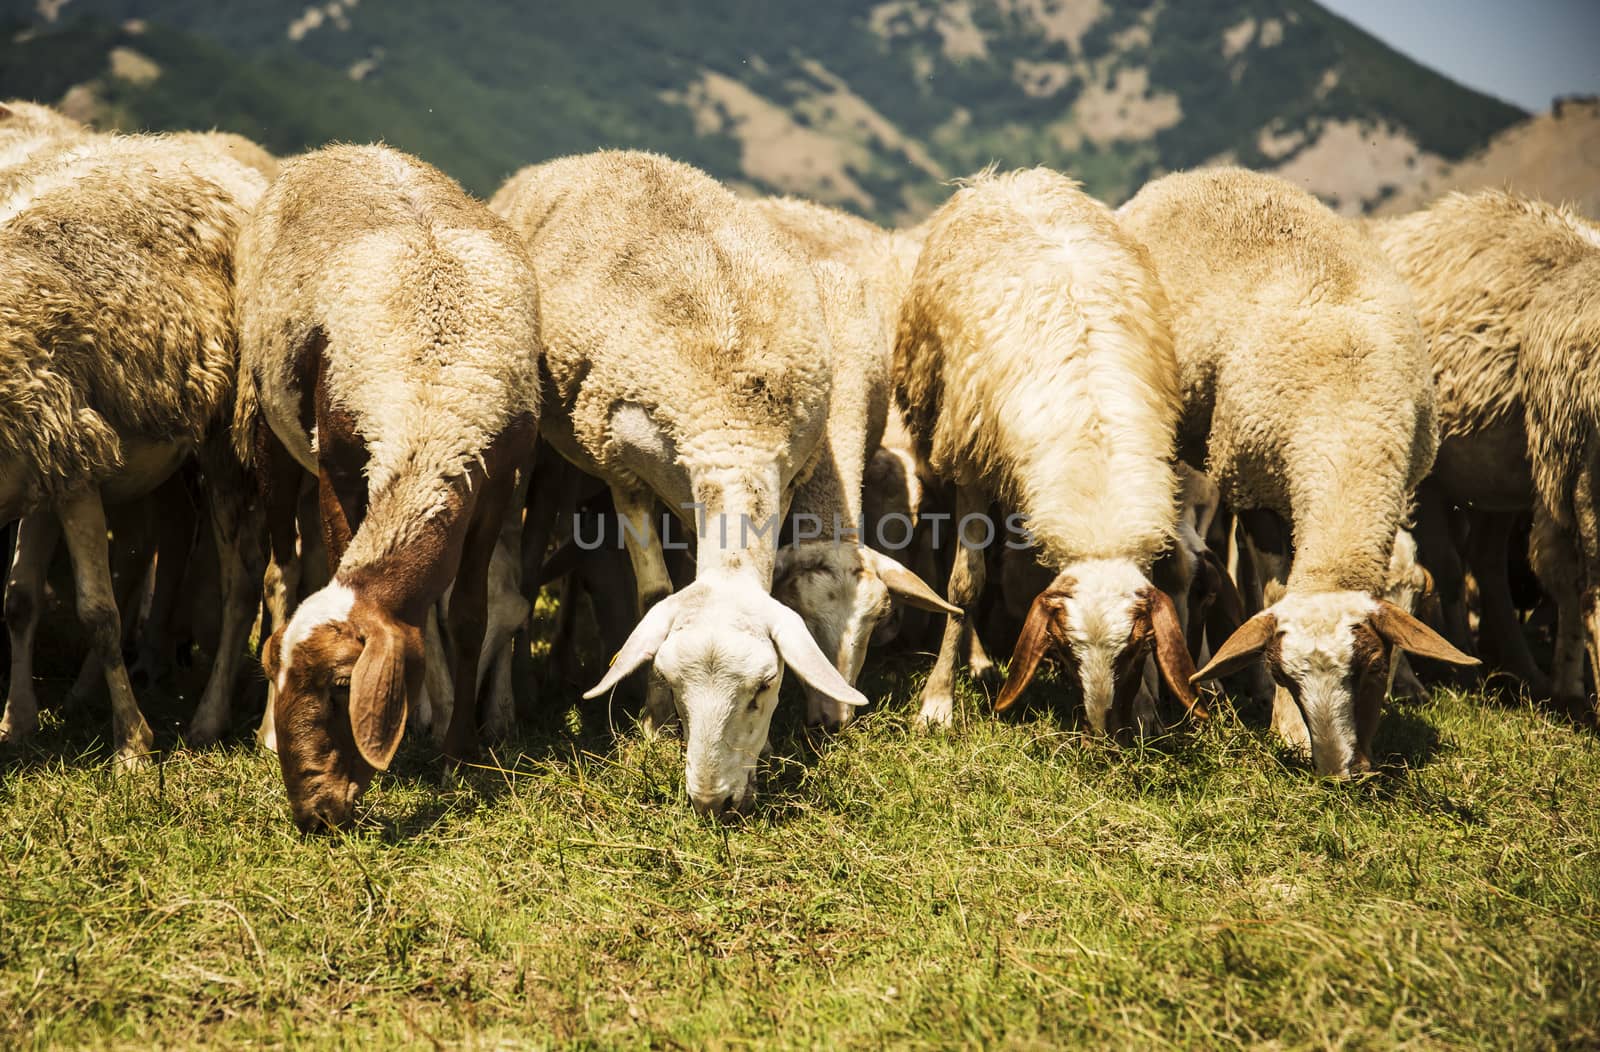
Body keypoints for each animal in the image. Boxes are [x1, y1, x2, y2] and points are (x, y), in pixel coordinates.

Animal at [0, 133, 265, 761]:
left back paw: (207, 718)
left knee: (240, 583)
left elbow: (99, 612)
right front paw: (16, 722)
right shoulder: (48, 465)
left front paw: (133, 745)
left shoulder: (72, 473)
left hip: (224, 441)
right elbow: (19, 600)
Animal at [489, 149, 870, 818]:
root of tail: (583, 157)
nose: (711, 800)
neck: (731, 421)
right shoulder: (621, 464)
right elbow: (653, 594)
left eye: (766, 686)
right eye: (670, 675)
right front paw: (653, 722)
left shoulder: (783, 476)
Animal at [896, 167, 1196, 732]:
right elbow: (965, 585)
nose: (1102, 732)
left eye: (1134, 650)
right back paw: (973, 661)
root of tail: (1004, 179)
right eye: (1064, 651)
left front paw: (1148, 707)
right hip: (938, 430)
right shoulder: (971, 465)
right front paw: (938, 701)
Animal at [1120, 163, 1478, 770]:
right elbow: (1273, 595)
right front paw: (1282, 721)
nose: (1337, 771)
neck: (1345, 426)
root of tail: (1197, 175)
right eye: (1291, 675)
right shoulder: (1258, 485)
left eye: (1372, 669)